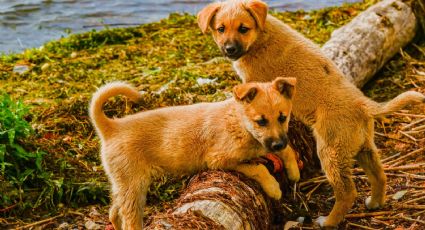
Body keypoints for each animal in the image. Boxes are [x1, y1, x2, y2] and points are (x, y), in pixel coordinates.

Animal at [90, 77, 300, 230]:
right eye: (261, 121)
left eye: (283, 117)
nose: (278, 144)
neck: (239, 122)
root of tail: (112, 127)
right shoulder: (219, 160)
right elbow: (258, 168)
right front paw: (273, 188)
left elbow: (287, 150)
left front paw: (294, 171)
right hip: (134, 186)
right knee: (129, 219)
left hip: (123, 184)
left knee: (114, 213)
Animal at [199, 0, 424, 226]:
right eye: (220, 29)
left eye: (243, 29)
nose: (229, 49)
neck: (262, 36)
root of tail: (363, 104)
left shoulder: (253, 81)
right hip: (364, 147)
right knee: (379, 175)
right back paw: (375, 202)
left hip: (330, 151)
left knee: (347, 193)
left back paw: (328, 221)